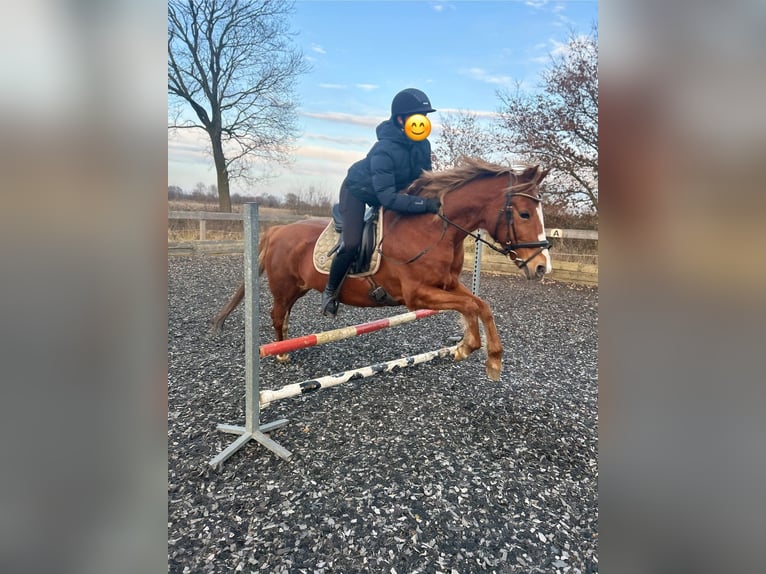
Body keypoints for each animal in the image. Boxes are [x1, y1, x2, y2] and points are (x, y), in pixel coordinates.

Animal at [213, 159, 556, 382]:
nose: (542, 267)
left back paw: (286, 344)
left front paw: (476, 352)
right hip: (285, 286)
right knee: (276, 313)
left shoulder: (447, 284)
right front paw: (475, 349)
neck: (435, 230)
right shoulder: (417, 296)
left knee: (283, 314)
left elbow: (479, 305)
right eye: (524, 214)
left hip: (298, 287)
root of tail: (276, 230)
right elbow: (471, 305)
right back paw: (282, 352)